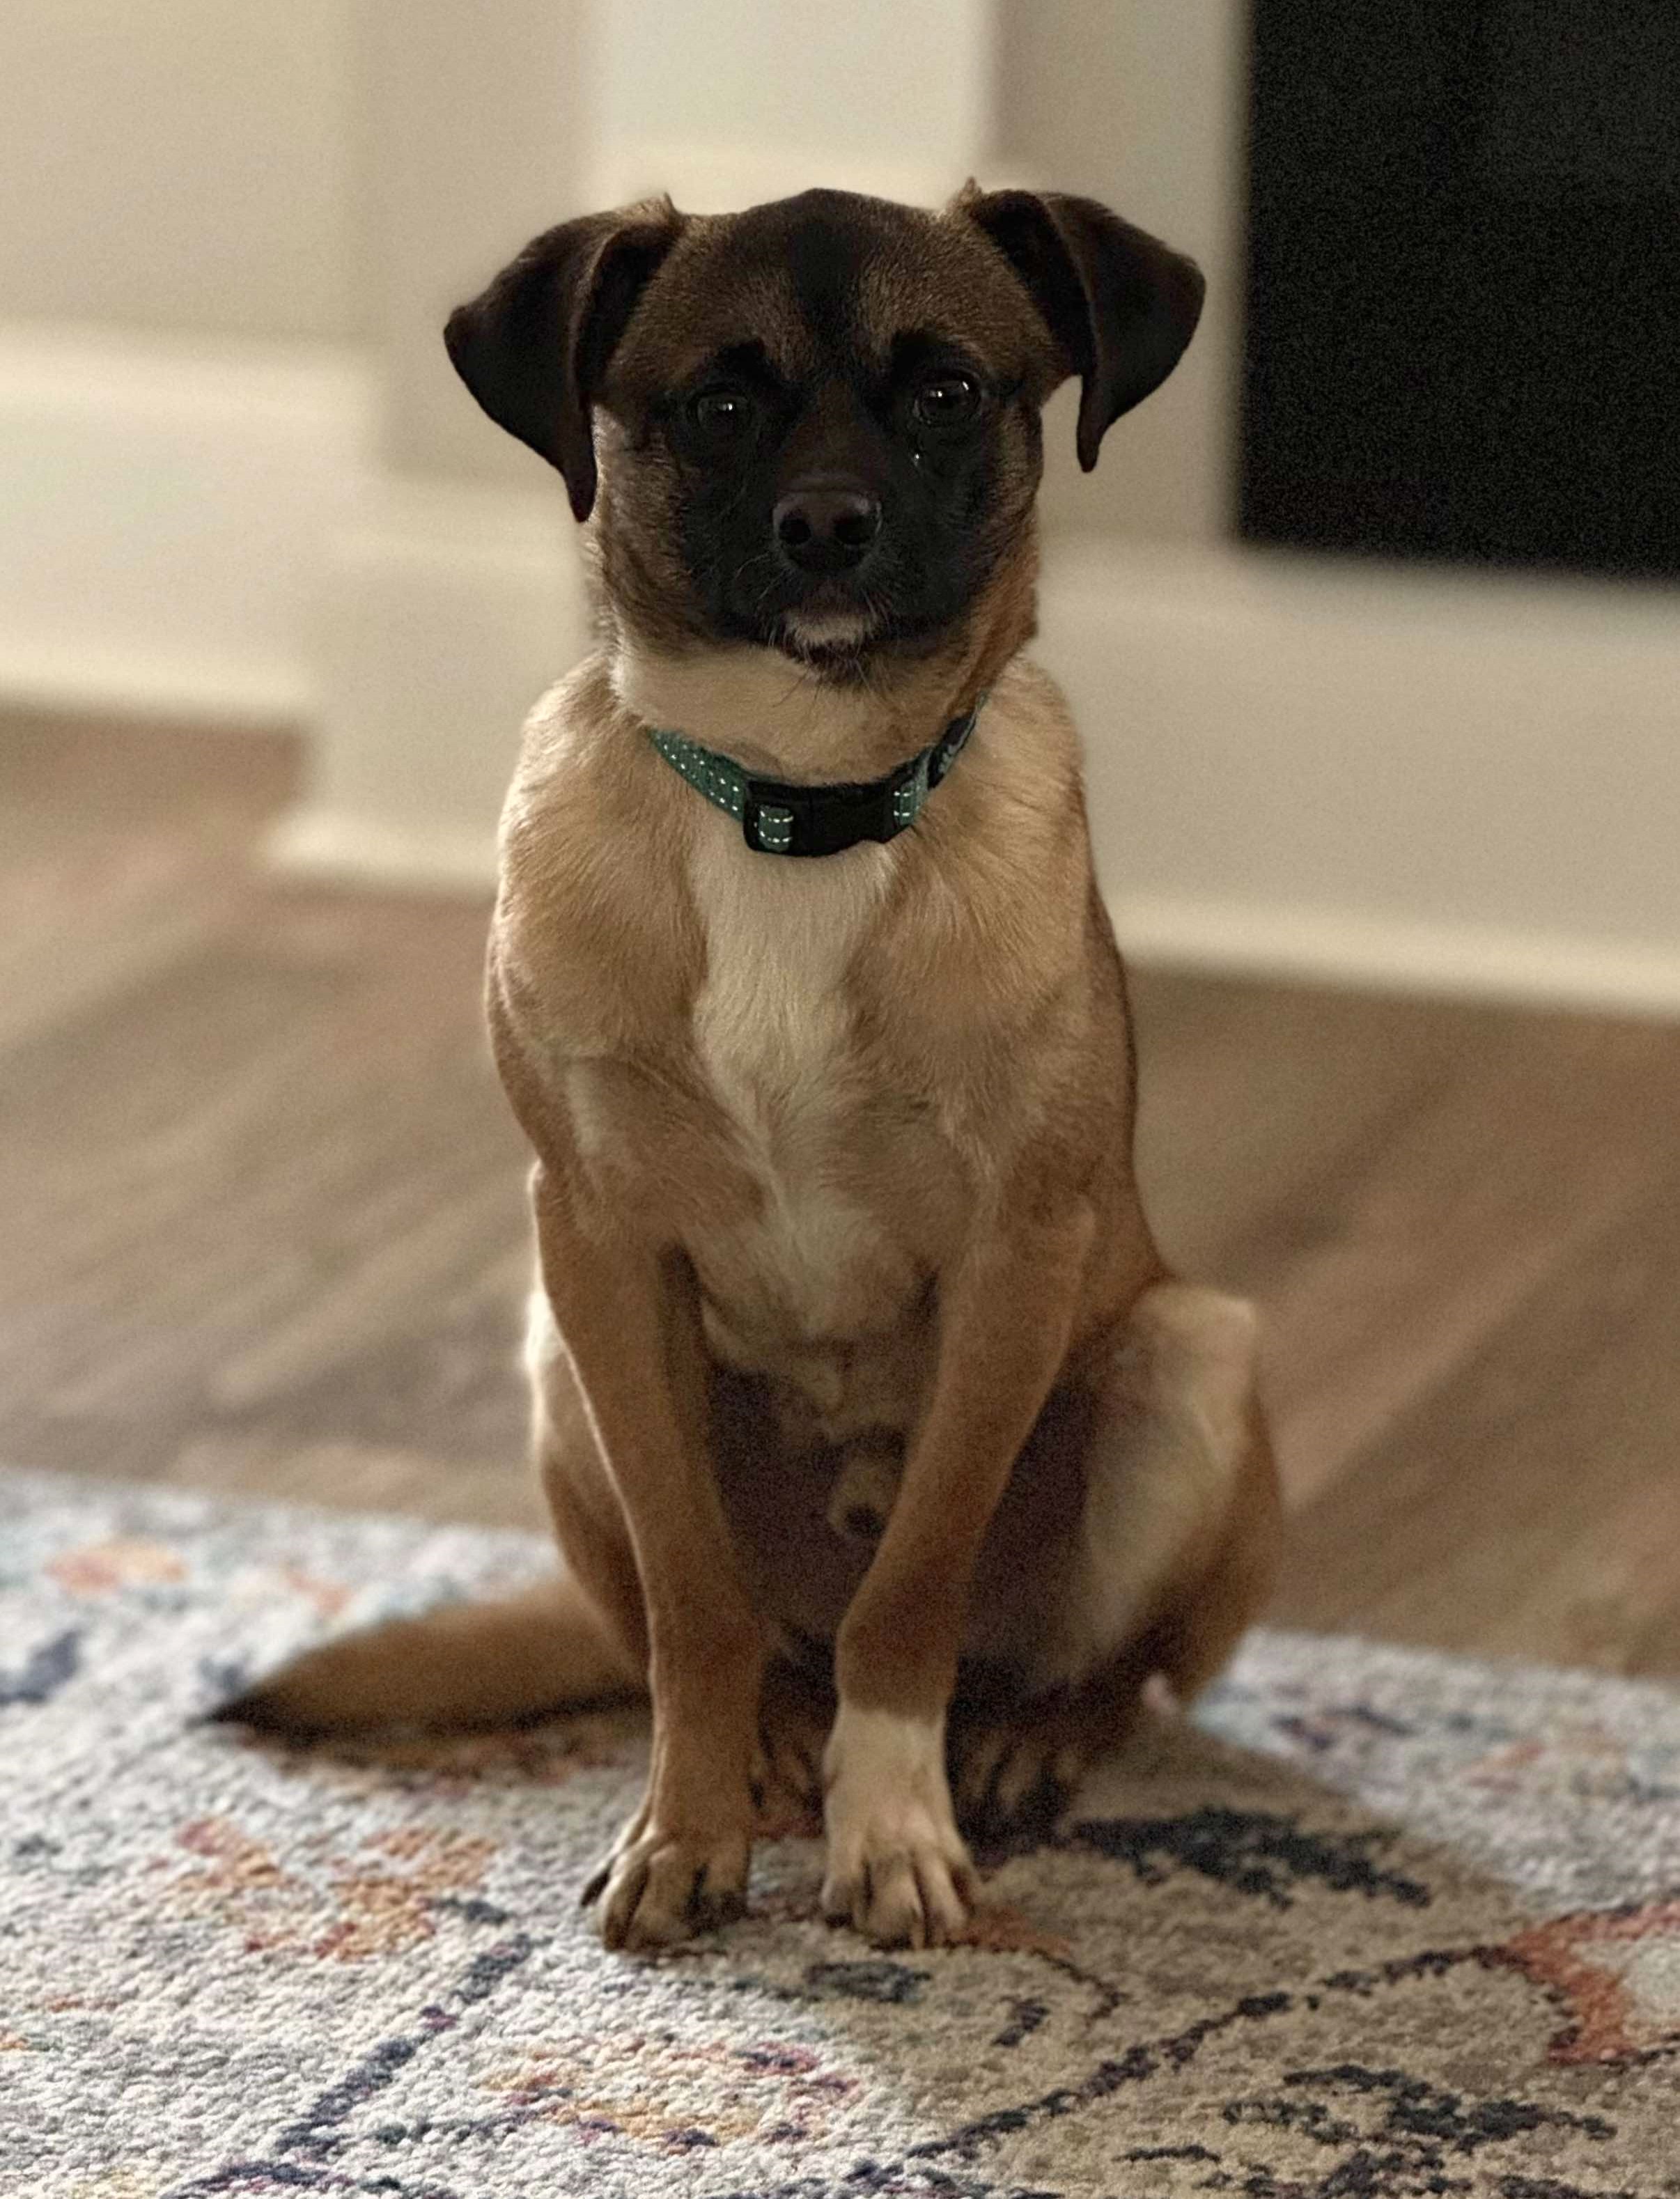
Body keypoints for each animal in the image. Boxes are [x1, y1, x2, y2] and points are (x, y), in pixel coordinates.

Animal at [222, 183, 1280, 1955]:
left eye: (947, 394)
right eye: (719, 408)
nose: (829, 529)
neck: (794, 807)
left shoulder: (1013, 1258)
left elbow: (908, 1599)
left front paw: (893, 1829)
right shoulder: (599, 1246)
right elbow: (688, 1608)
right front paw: (690, 1826)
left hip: (1187, 1360)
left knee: (1110, 1674)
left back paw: (1021, 1745)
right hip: (551, 1364)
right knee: (718, 1634)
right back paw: (783, 1745)